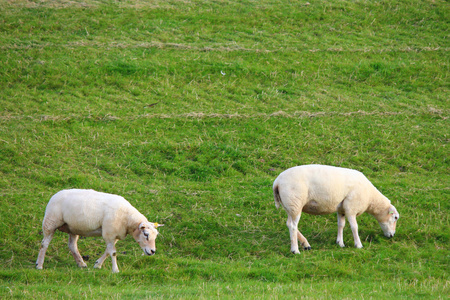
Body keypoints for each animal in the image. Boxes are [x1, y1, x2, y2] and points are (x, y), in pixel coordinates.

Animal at [272, 165, 400, 252]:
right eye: (395, 217)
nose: (392, 235)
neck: (370, 198)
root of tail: (277, 182)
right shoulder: (351, 208)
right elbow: (354, 227)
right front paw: (358, 245)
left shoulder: (342, 209)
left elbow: (341, 225)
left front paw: (340, 243)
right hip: (295, 202)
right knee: (293, 226)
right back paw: (295, 250)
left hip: (290, 206)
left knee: (289, 223)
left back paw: (306, 244)